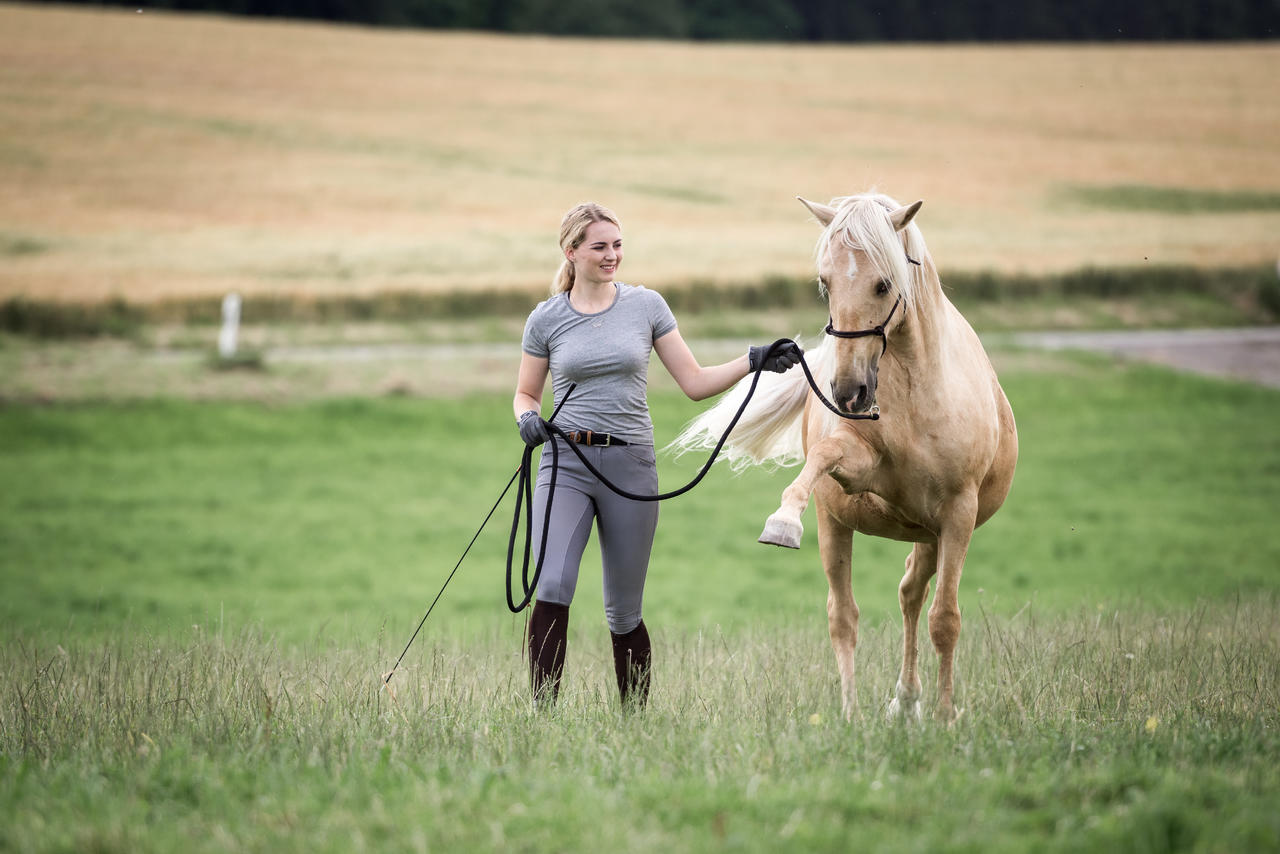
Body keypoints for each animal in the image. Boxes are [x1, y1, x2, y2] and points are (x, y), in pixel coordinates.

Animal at [670, 192, 1018, 722]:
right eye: (825, 282)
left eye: (884, 283)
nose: (847, 391)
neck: (915, 394)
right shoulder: (858, 474)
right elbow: (825, 456)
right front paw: (782, 520)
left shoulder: (957, 514)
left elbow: (945, 619)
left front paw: (944, 718)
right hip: (844, 526)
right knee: (851, 612)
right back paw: (867, 711)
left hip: (933, 534)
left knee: (915, 597)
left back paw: (912, 703)